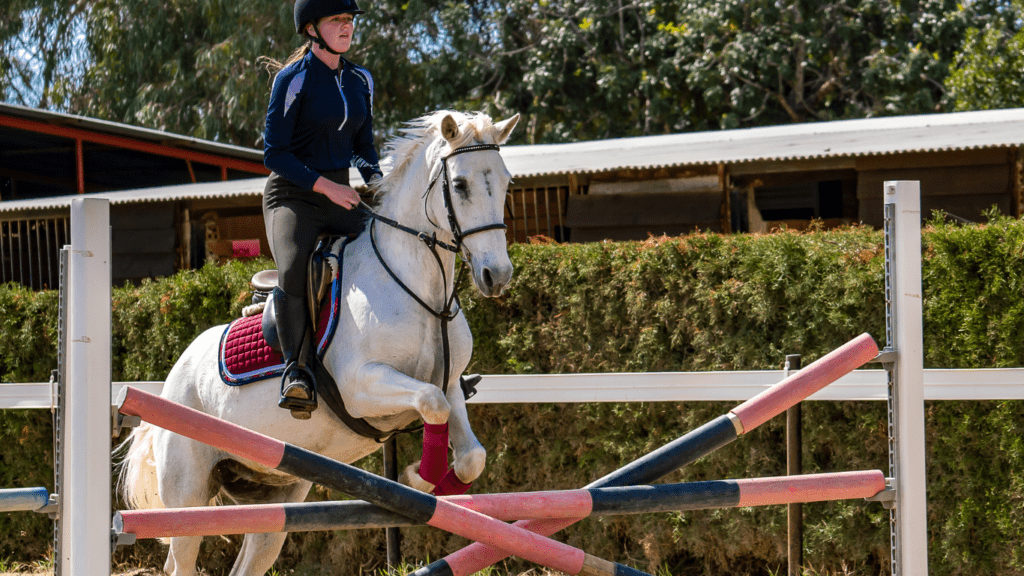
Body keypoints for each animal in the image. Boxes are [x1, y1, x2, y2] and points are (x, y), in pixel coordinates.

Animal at [119, 109, 520, 569]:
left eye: (505, 181)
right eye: (460, 185)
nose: (497, 275)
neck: (424, 293)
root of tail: (172, 377)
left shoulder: (451, 384)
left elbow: (471, 455)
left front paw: (429, 483)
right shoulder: (361, 385)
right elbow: (429, 402)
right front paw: (414, 477)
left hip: (277, 495)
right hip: (188, 493)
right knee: (180, 557)